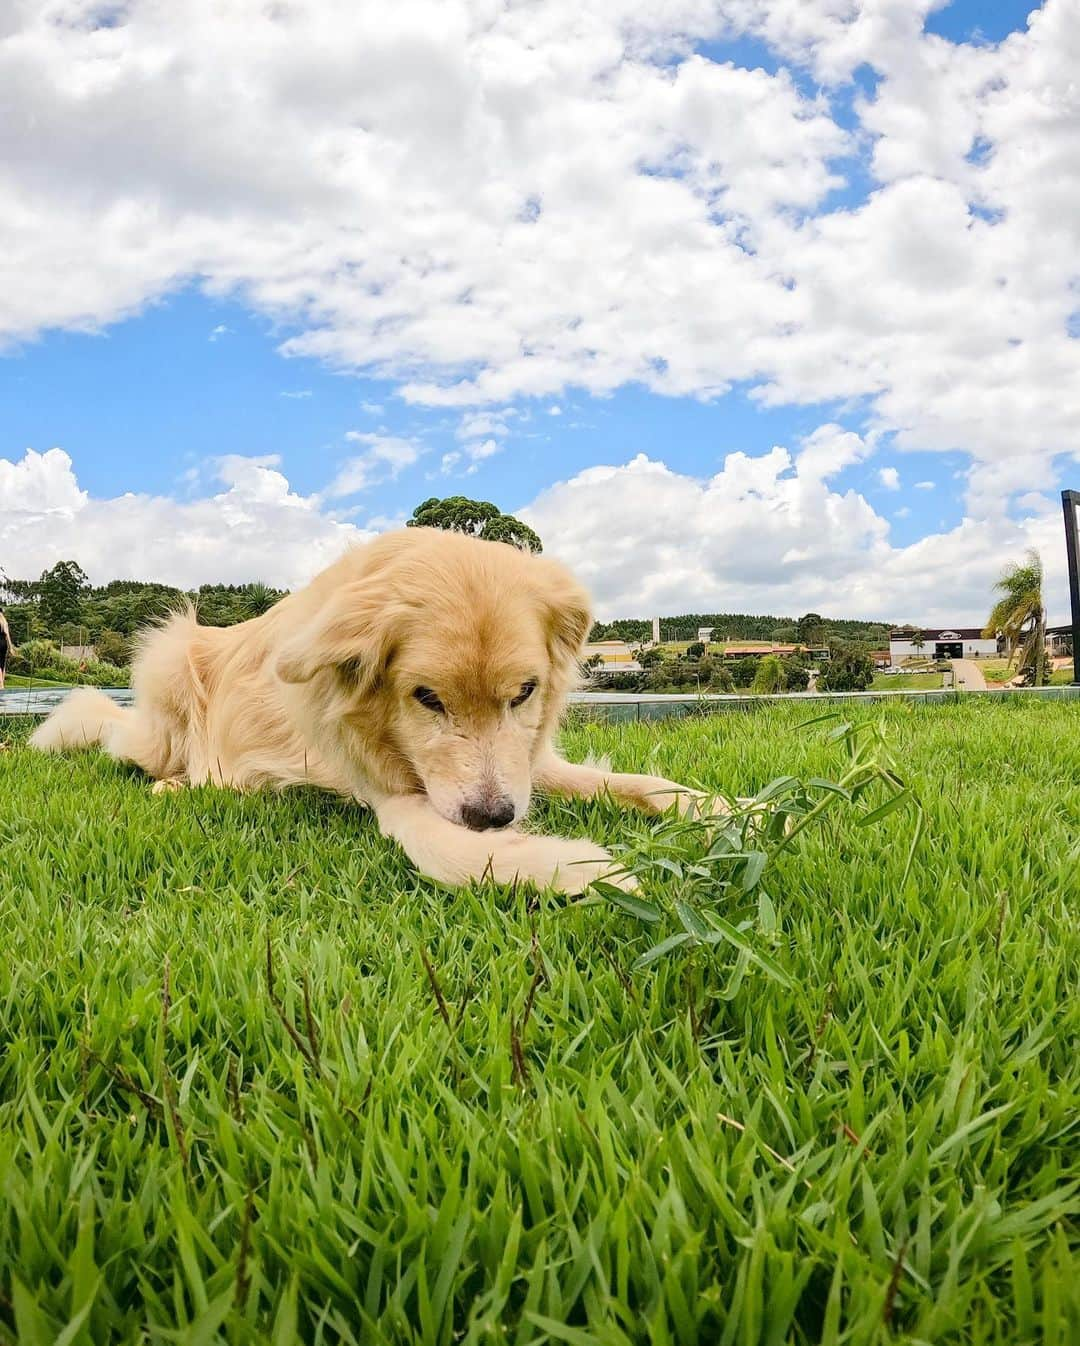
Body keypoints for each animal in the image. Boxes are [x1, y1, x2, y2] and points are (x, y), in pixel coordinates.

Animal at [29, 527, 700, 893]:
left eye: (524, 693)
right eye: (427, 698)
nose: (494, 816)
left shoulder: (525, 766)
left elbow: (632, 783)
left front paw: (718, 809)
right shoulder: (388, 791)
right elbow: (449, 850)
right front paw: (585, 868)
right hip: (167, 666)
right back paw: (177, 782)